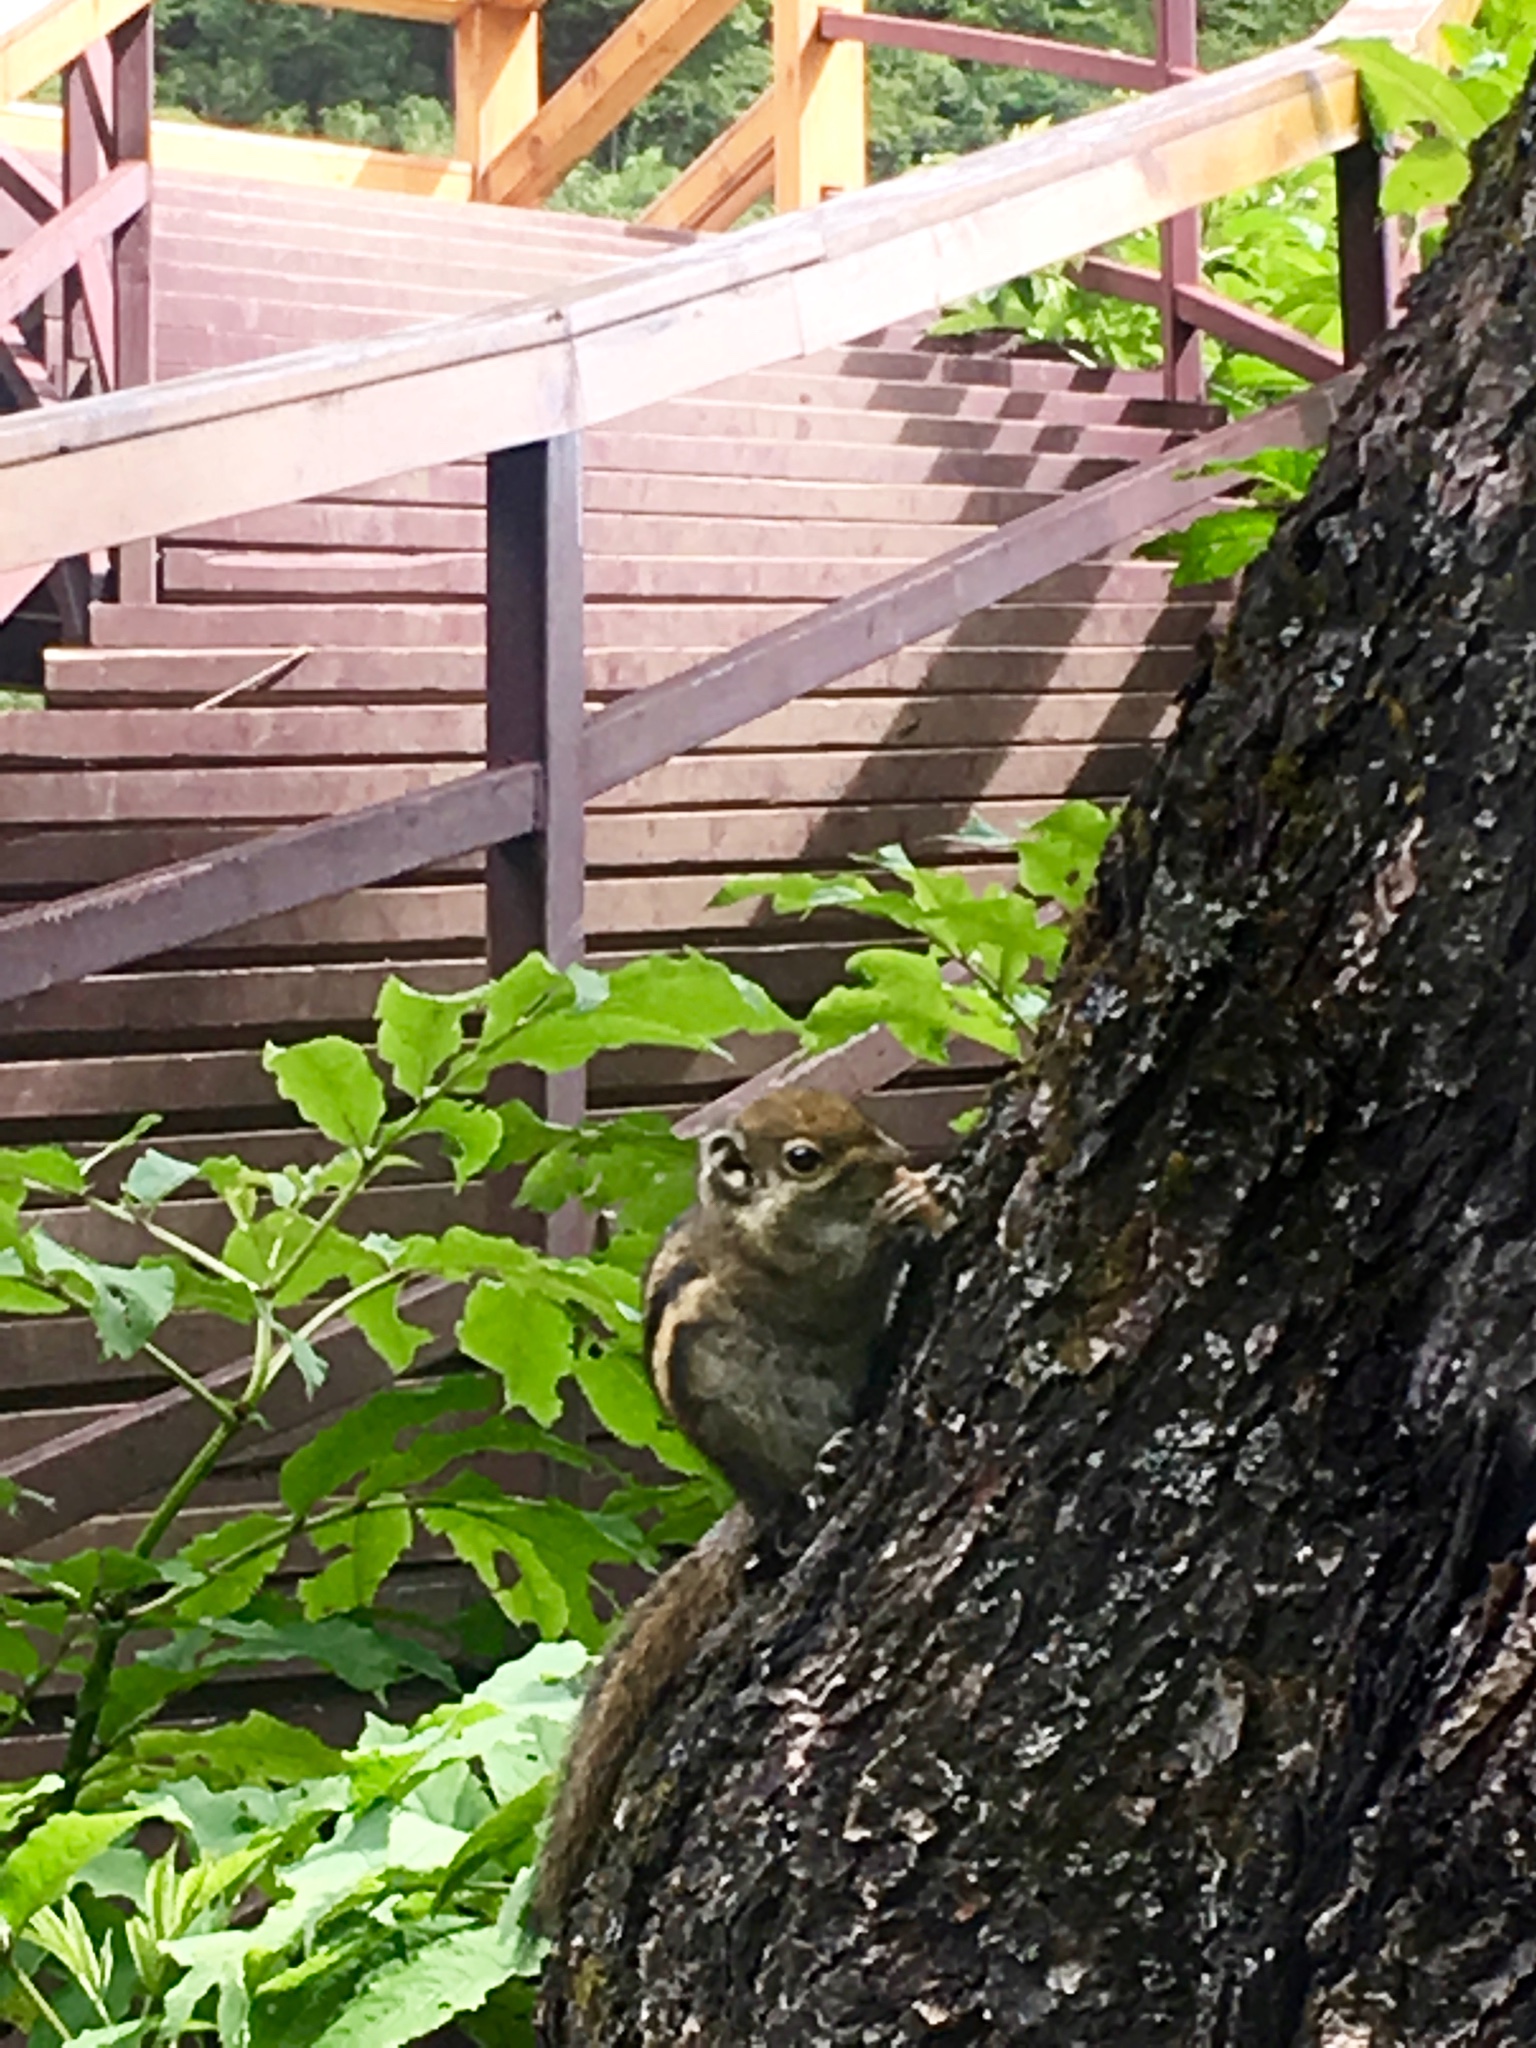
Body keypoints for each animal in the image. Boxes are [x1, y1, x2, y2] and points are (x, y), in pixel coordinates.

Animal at [536, 1081, 958, 1925]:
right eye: (803, 1158)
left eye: (857, 1111)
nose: (898, 1155)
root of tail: (748, 1508)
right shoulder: (796, 1274)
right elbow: (844, 1278)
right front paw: (898, 1210)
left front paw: (934, 1187)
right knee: (793, 1503)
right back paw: (819, 1476)